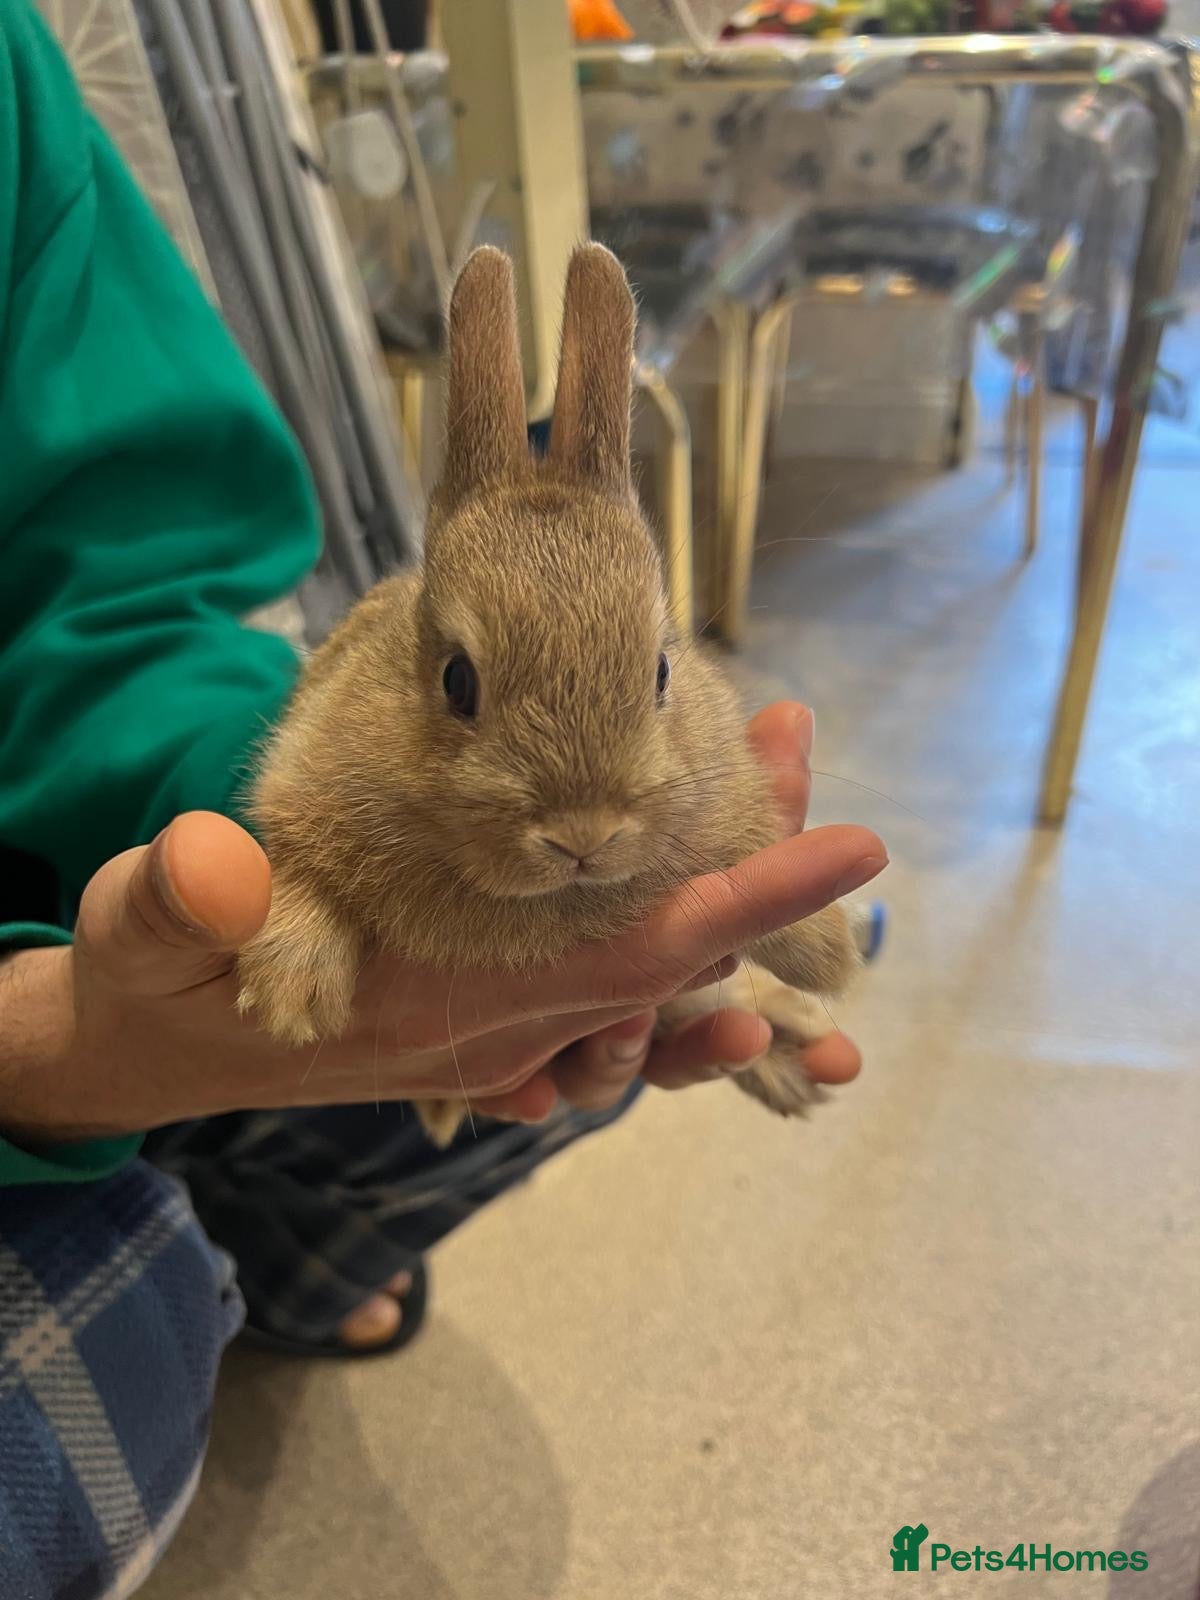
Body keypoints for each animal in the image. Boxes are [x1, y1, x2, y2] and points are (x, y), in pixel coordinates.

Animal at [237, 242, 866, 1146]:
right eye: (457, 680)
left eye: (661, 672)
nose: (583, 835)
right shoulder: (301, 779)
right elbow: (301, 874)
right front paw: (290, 998)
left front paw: (828, 954)